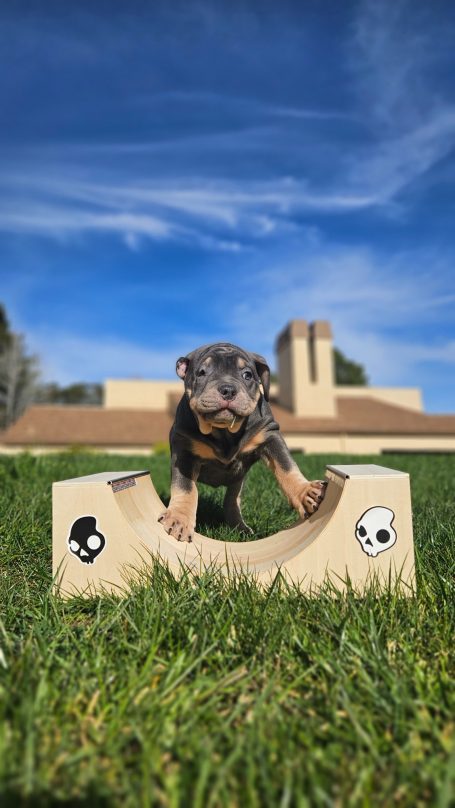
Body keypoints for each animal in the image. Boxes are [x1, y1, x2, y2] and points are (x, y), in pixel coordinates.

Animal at [159, 342, 328, 544]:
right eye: (201, 373)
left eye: (247, 375)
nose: (228, 390)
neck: (224, 431)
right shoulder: (184, 448)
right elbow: (185, 486)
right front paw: (179, 519)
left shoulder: (269, 434)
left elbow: (286, 465)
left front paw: (304, 492)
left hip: (238, 480)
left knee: (232, 500)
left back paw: (240, 528)